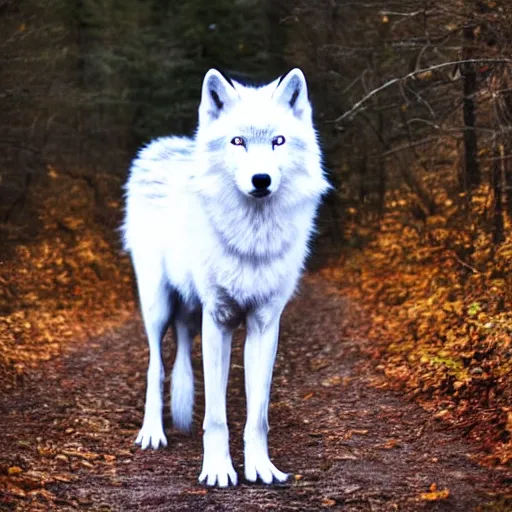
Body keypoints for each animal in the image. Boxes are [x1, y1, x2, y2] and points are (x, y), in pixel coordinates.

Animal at [122, 68, 330, 488]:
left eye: (278, 141)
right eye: (238, 141)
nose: (261, 179)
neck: (252, 236)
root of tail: (162, 145)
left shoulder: (264, 324)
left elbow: (258, 416)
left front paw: (260, 468)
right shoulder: (217, 319)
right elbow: (217, 418)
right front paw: (218, 471)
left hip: (191, 311)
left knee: (182, 350)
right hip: (157, 305)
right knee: (155, 367)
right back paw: (153, 433)